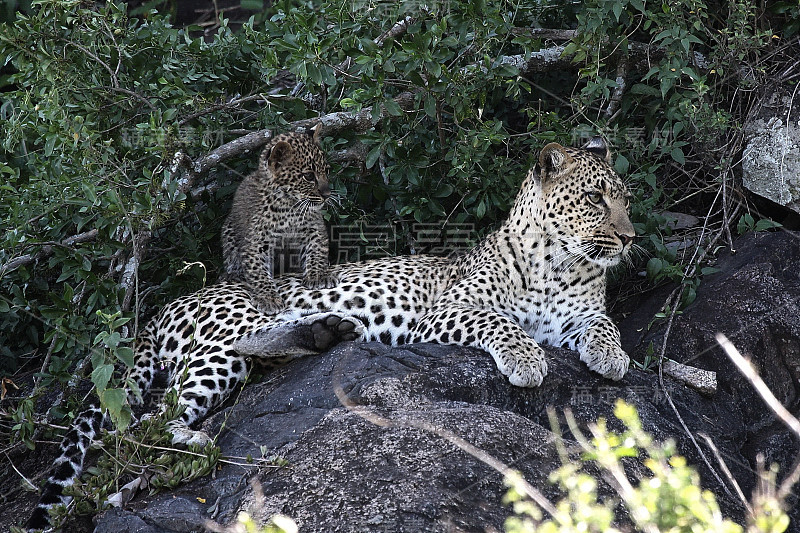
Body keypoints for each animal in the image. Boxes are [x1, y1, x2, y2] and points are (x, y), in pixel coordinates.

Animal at [28, 137, 636, 528]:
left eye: (624, 198)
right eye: (594, 198)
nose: (630, 237)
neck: (558, 261)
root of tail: (162, 308)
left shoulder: (581, 312)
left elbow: (603, 327)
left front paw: (611, 358)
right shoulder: (447, 309)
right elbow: (500, 320)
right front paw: (527, 360)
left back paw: (328, 332)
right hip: (226, 340)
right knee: (141, 425)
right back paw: (201, 437)